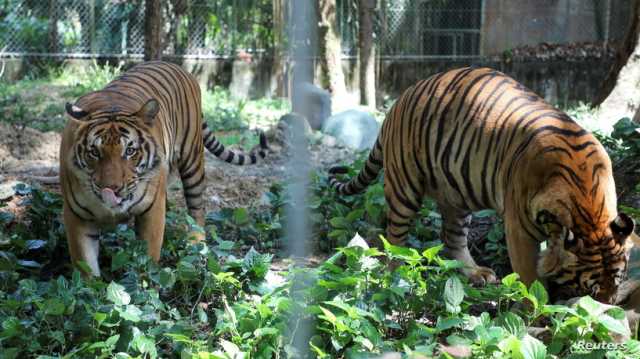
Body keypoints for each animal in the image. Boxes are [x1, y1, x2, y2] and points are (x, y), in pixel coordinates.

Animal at [60, 61, 268, 276]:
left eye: (130, 151)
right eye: (94, 152)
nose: (112, 189)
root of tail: (175, 65)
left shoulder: (152, 210)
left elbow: (148, 257)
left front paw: (145, 281)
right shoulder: (77, 216)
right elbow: (85, 266)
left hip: (192, 160)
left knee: (197, 208)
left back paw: (196, 244)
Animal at [330, 67, 636, 304]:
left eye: (617, 281)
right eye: (590, 288)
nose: (608, 306)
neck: (588, 205)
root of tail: (400, 100)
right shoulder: (518, 229)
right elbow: (529, 278)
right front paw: (537, 312)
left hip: (457, 193)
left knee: (451, 237)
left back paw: (475, 273)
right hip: (404, 187)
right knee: (394, 239)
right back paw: (397, 277)